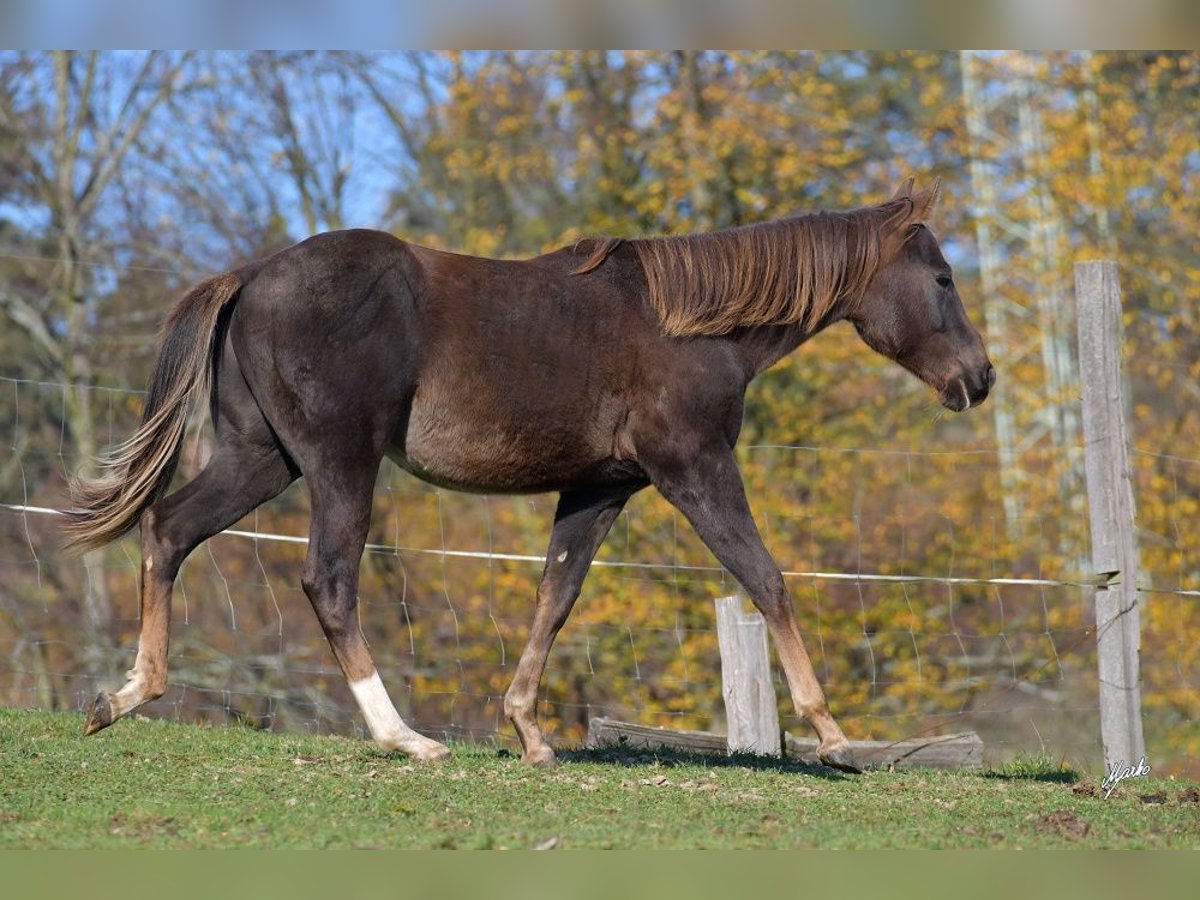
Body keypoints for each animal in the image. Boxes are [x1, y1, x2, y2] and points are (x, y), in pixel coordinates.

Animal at [63, 177, 993, 777]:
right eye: (943, 277)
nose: (979, 379)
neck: (691, 325)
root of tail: (250, 273)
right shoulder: (694, 466)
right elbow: (766, 578)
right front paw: (832, 736)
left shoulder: (599, 488)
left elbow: (557, 595)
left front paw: (530, 734)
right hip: (338, 464)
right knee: (327, 582)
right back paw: (405, 739)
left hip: (262, 459)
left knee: (168, 530)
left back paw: (126, 695)